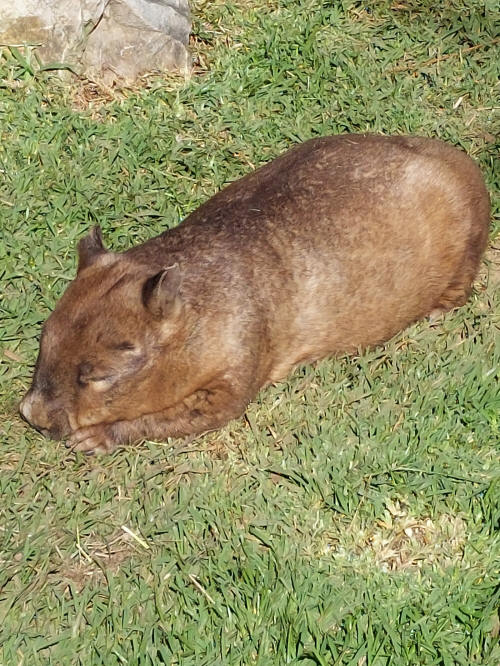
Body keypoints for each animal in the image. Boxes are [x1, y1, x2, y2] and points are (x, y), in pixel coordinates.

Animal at [19, 134, 490, 454]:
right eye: (43, 341)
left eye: (96, 376)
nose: (32, 416)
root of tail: (463, 160)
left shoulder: (243, 344)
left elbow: (207, 411)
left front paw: (93, 438)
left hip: (467, 236)